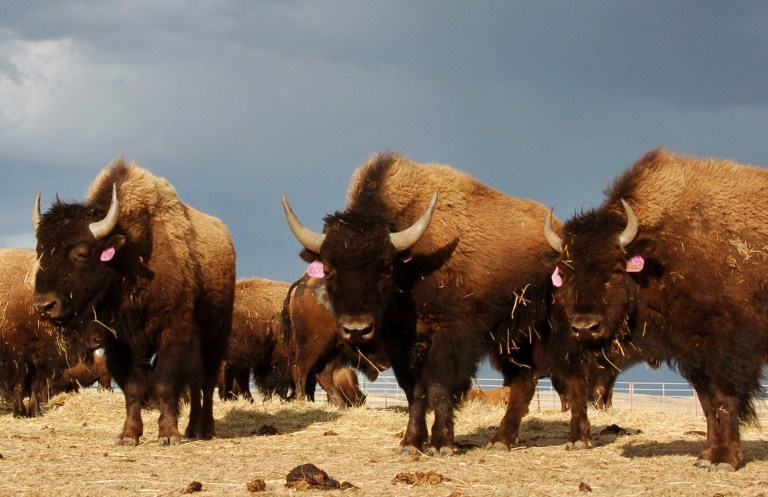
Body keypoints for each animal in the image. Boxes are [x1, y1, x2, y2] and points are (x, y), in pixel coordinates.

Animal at [32, 159, 235, 446]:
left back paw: (204, 429)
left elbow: (165, 384)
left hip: (214, 337)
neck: (128, 257)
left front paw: (168, 435)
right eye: (40, 250)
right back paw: (192, 429)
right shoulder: (117, 343)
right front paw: (128, 435)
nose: (44, 306)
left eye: (82, 253)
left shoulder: (172, 332)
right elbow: (133, 388)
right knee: (196, 385)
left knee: (205, 382)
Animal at [283, 153, 589, 455]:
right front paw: (411, 443)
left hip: (558, 333)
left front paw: (442, 444)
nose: (356, 329)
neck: (413, 264)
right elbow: (415, 392)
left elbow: (440, 386)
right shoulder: (401, 345)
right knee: (524, 382)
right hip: (514, 341)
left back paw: (577, 439)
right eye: (329, 269)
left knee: (573, 378)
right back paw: (501, 441)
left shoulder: (449, 335)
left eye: (385, 269)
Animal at [545, 148, 768, 470]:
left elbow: (724, 400)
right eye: (565, 272)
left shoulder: (727, 352)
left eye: (616, 269)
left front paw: (726, 460)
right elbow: (708, 405)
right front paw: (706, 457)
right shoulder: (692, 355)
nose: (585, 327)